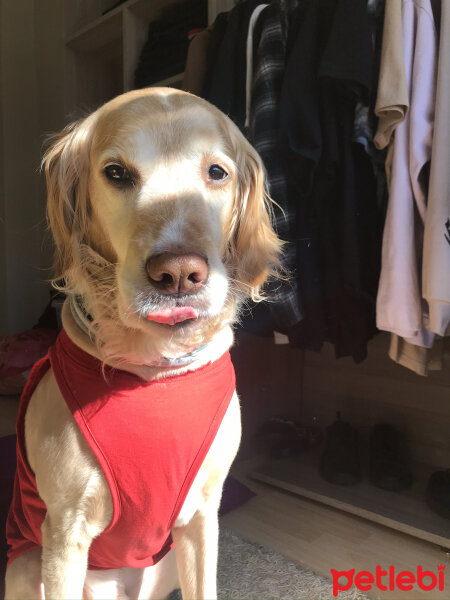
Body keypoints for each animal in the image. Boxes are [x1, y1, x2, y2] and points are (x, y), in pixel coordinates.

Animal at [4, 86, 282, 596]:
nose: (178, 274)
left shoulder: (203, 517)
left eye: (217, 172)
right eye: (116, 173)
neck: (154, 371)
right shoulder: (64, 531)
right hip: (28, 563)